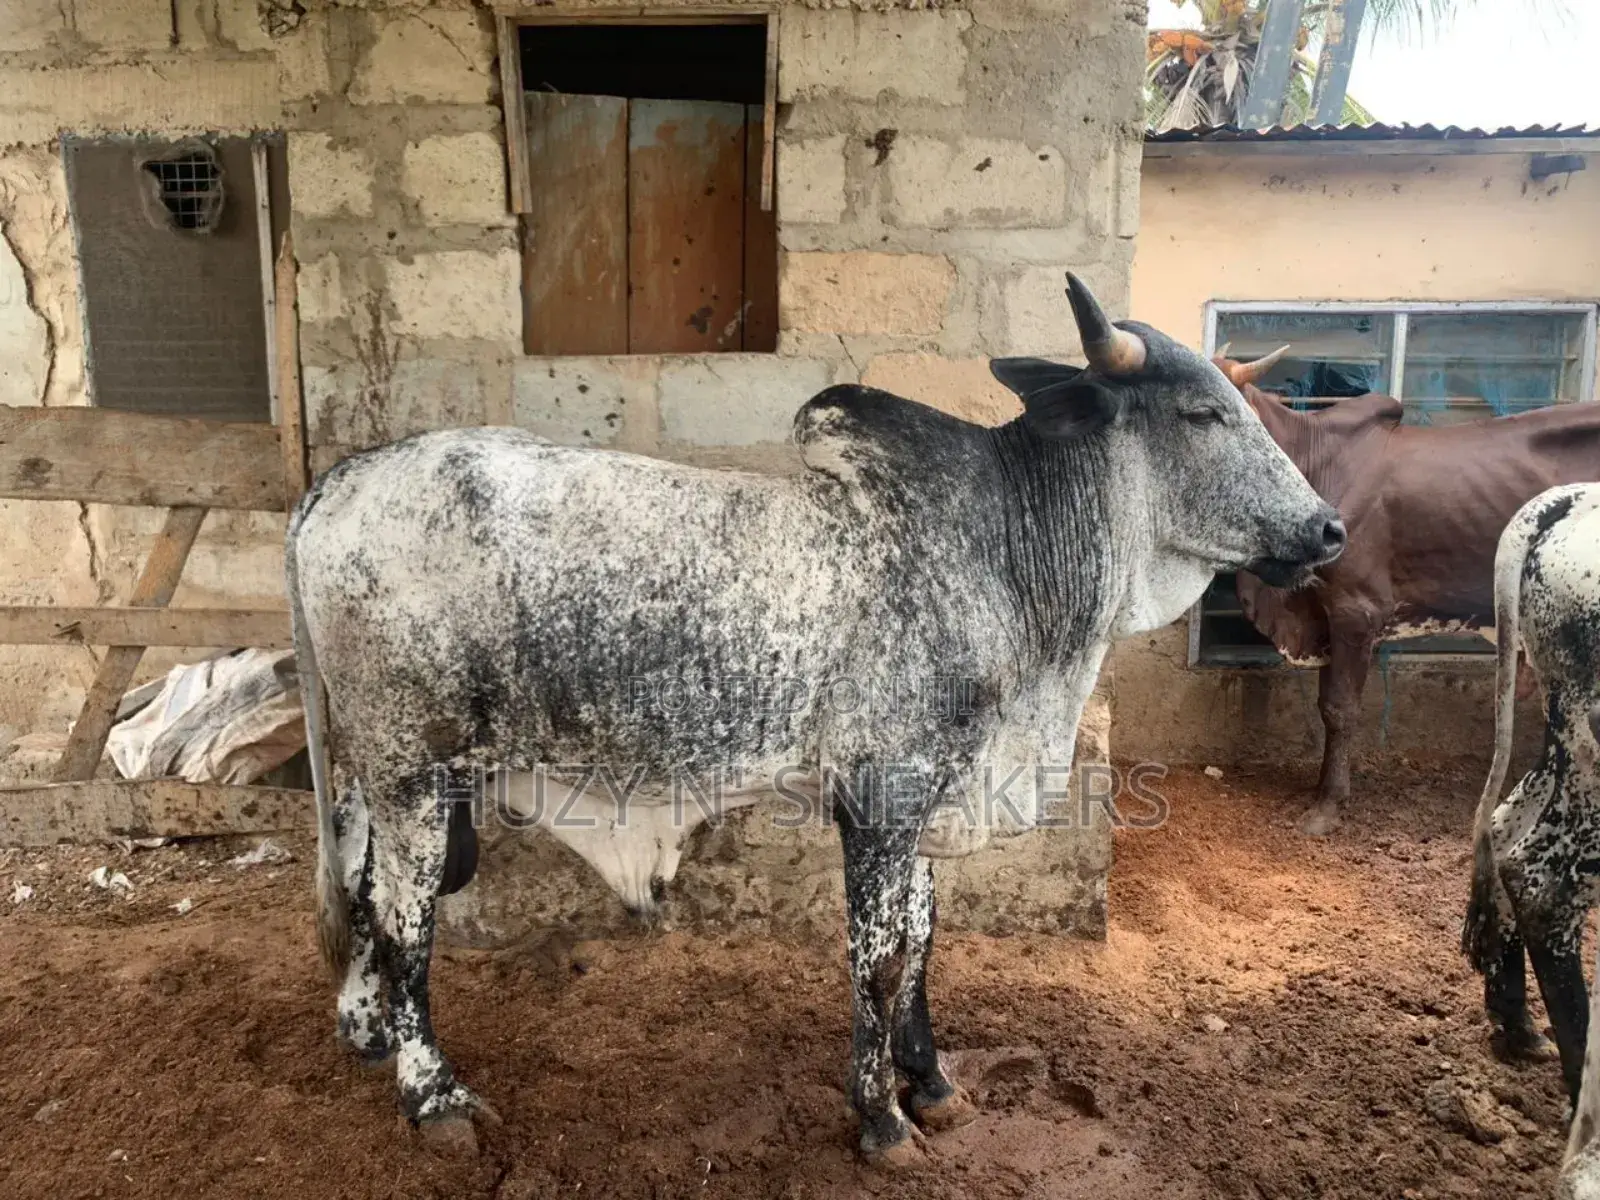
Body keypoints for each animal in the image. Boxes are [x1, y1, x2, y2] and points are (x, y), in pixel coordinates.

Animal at [286, 275, 1344, 1167]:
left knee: (365, 889)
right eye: (1203, 413)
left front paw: (932, 1083)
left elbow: (922, 939)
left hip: (385, 773)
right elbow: (878, 961)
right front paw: (880, 1117)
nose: (1330, 529)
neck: (1007, 549)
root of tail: (337, 483)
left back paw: (371, 1036)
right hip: (412, 766)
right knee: (407, 920)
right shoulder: (882, 795)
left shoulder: (935, 791)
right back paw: (433, 1097)